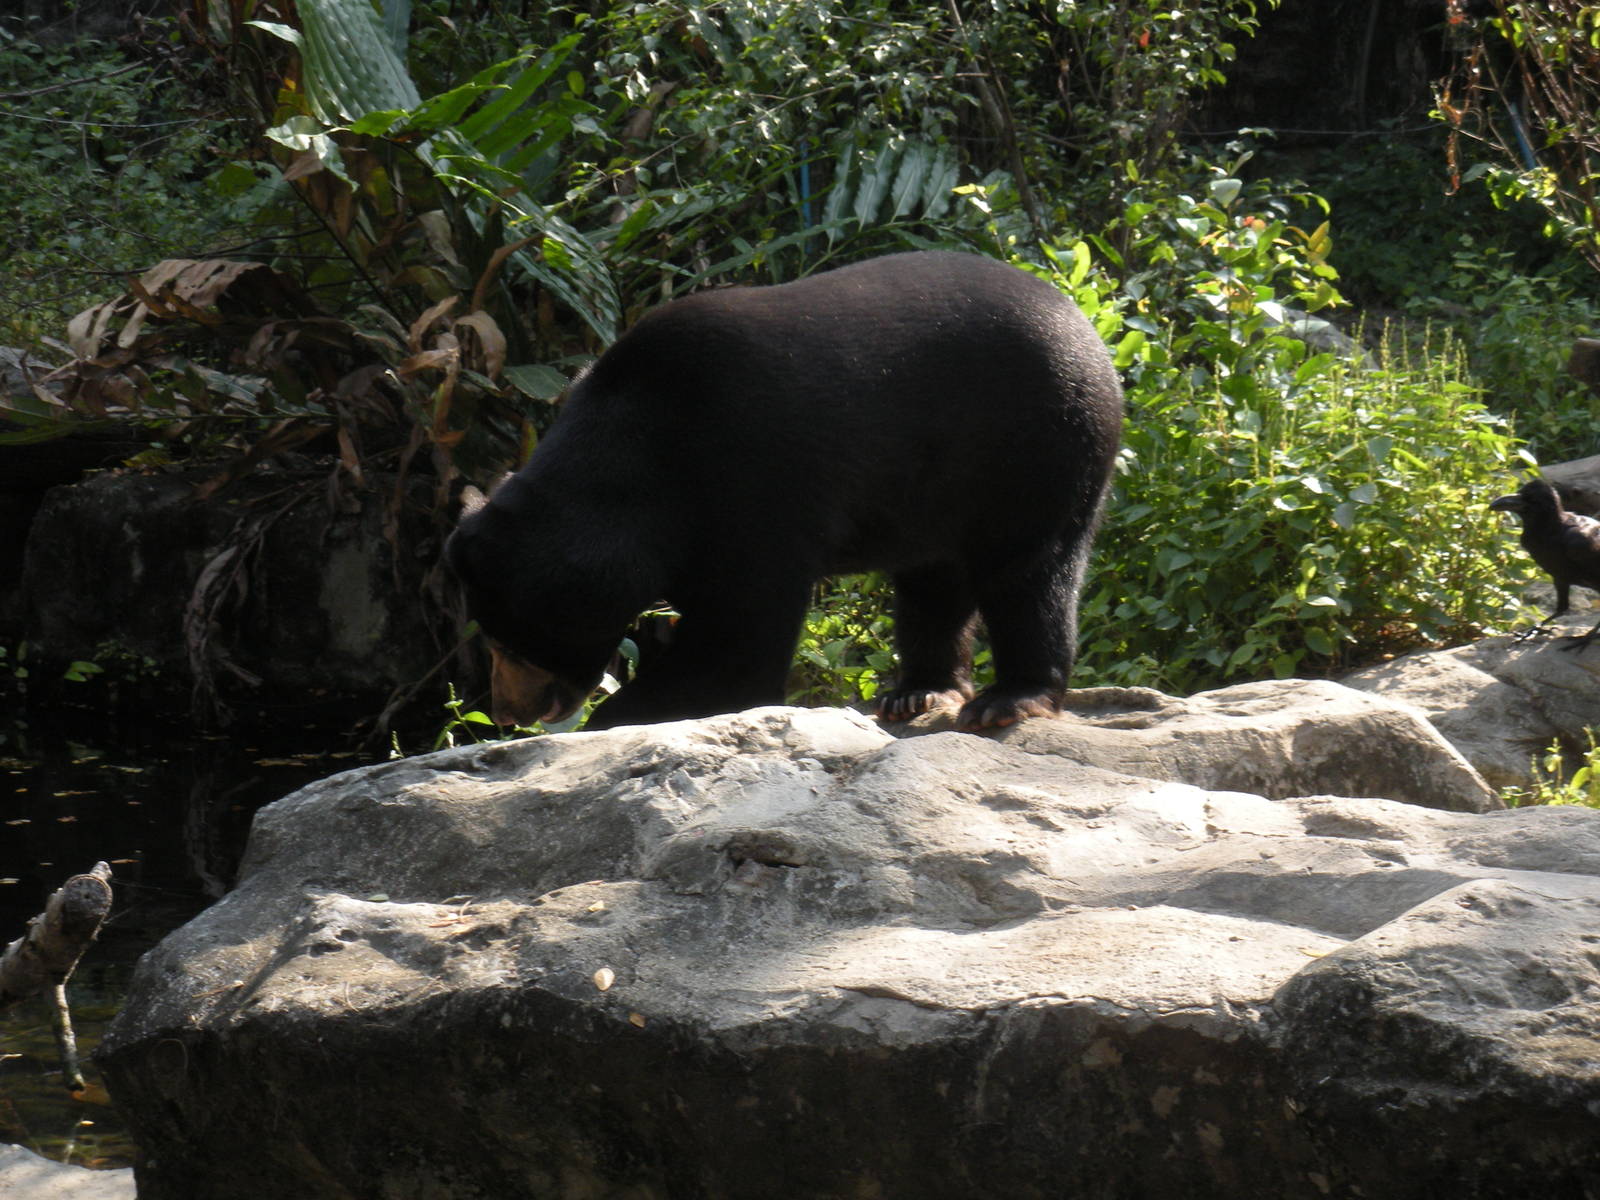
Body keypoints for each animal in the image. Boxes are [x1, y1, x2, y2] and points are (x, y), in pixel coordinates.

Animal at [446, 250, 1123, 732]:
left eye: (506, 643)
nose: (508, 711)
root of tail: (1085, 324)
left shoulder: (754, 481)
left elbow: (741, 641)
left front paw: (619, 718)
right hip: (940, 489)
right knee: (934, 581)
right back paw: (917, 691)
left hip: (1039, 445)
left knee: (1030, 571)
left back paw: (1007, 700)